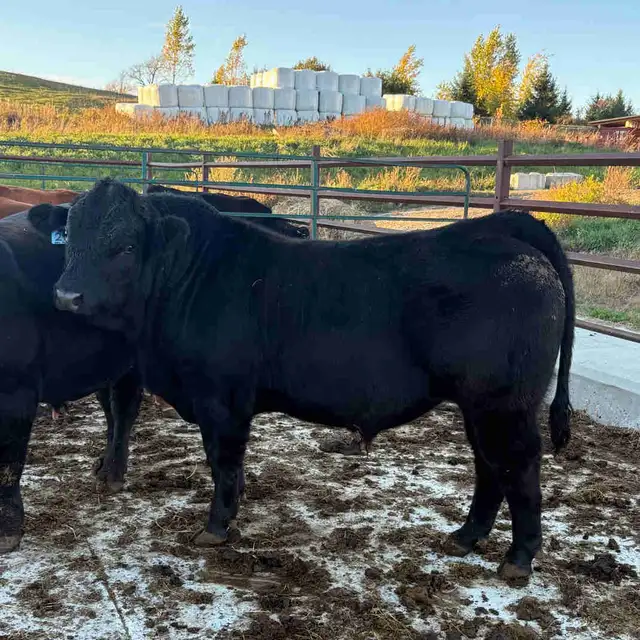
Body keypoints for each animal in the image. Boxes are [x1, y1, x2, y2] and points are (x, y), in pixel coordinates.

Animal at [0, 206, 142, 554]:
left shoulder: (17, 392)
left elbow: (8, 463)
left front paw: (7, 530)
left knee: (124, 410)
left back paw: (114, 473)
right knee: (110, 412)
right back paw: (104, 466)